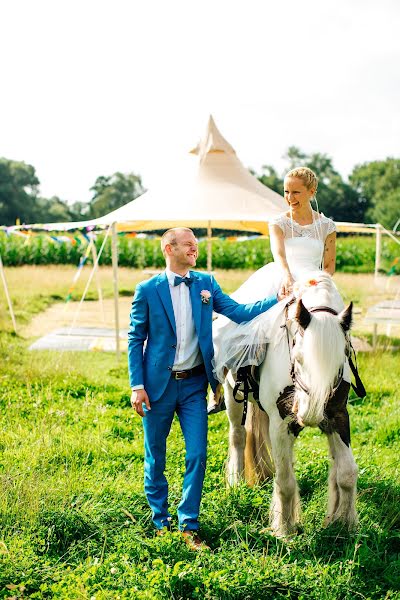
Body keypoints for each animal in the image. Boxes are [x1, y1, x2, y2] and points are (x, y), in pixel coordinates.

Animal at [223, 270, 358, 536]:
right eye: (297, 357)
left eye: (341, 363)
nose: (311, 415)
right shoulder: (282, 424)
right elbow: (285, 481)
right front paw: (285, 529)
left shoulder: (337, 416)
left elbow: (347, 473)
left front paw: (343, 524)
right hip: (233, 396)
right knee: (238, 436)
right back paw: (237, 482)